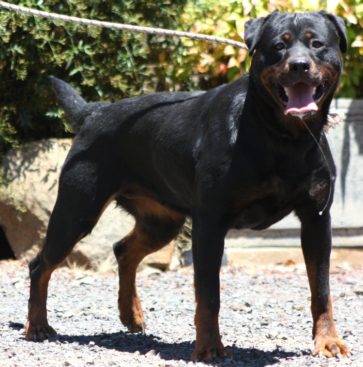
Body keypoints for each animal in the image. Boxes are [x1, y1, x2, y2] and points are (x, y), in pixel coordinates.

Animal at [25, 10, 350, 362]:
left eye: (317, 44)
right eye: (279, 46)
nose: (299, 65)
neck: (283, 137)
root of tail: (93, 112)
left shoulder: (317, 219)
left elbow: (322, 289)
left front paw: (328, 341)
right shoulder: (210, 222)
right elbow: (208, 294)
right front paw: (209, 346)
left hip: (161, 220)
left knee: (124, 250)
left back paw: (130, 315)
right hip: (77, 210)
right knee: (40, 264)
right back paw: (37, 326)